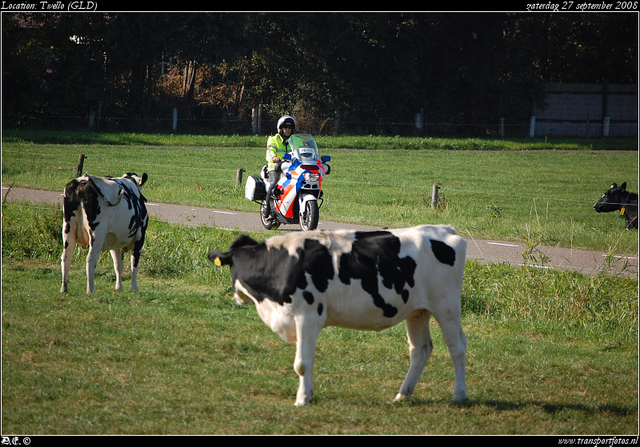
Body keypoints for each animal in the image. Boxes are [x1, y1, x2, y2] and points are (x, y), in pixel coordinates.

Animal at [208, 226, 468, 408]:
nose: (237, 298)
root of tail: (444, 229)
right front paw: (309, 396)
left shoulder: (307, 316)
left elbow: (302, 363)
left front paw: (302, 399)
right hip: (417, 311)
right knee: (420, 349)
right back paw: (403, 394)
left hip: (447, 306)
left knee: (457, 347)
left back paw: (459, 395)